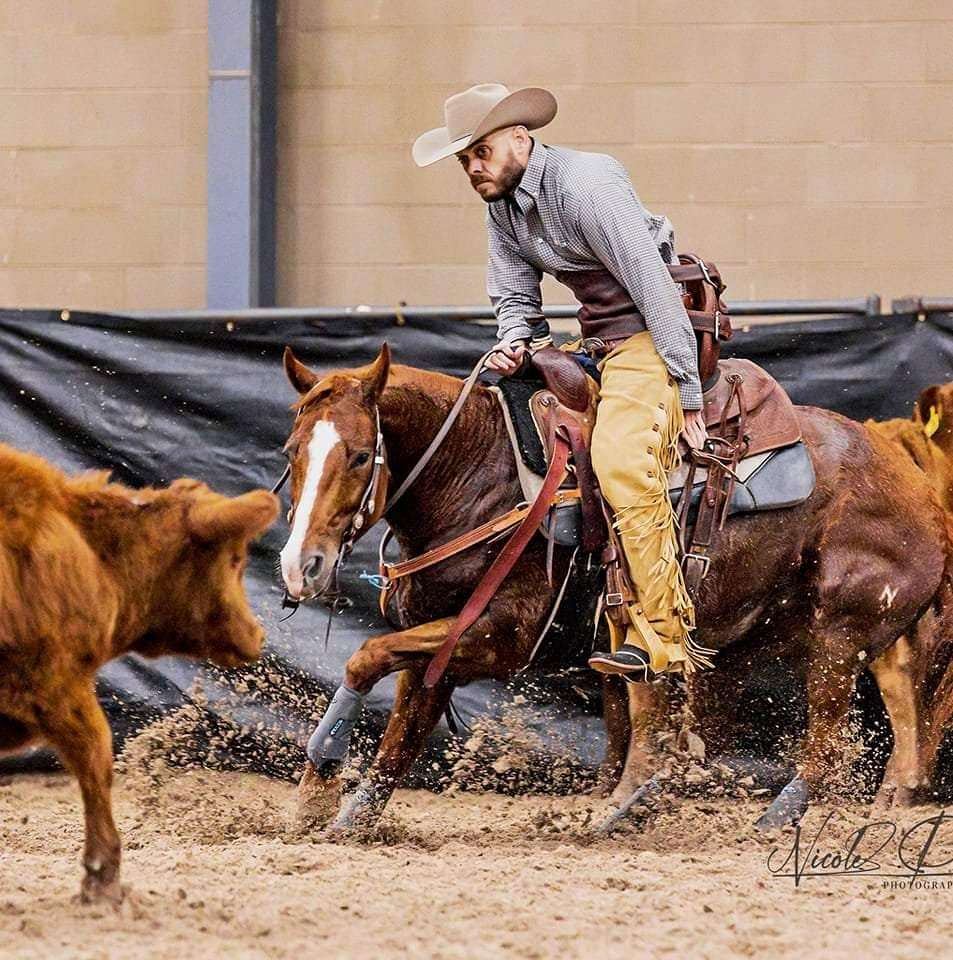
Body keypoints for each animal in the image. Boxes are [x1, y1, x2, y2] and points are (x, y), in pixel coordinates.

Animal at [276, 343, 953, 833]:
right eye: (290, 451)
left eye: (359, 455)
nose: (300, 565)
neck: (481, 471)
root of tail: (919, 488)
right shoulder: (438, 642)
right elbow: (400, 737)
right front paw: (340, 813)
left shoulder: (501, 639)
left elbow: (365, 658)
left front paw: (319, 778)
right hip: (747, 639)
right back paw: (629, 807)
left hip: (841, 634)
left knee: (827, 742)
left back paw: (768, 817)